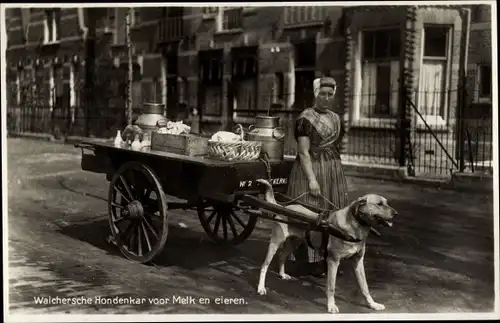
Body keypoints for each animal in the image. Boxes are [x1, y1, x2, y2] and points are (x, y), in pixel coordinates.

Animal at [254, 178, 398, 316]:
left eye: (386, 203)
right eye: (379, 204)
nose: (396, 213)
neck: (355, 226)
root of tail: (283, 206)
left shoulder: (358, 261)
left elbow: (365, 287)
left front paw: (372, 304)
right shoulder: (333, 261)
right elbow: (331, 286)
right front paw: (331, 306)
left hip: (294, 243)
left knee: (282, 255)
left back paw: (283, 274)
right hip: (275, 243)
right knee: (264, 265)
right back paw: (261, 288)